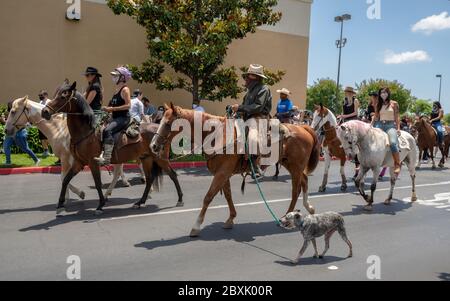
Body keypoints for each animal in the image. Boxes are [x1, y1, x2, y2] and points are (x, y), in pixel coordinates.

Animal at [3, 95, 141, 199]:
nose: (6, 130)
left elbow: (63, 177)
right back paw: (111, 192)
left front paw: (79, 194)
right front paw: (67, 196)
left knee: (119, 171)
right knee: (118, 171)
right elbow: (64, 178)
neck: (59, 129)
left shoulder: (66, 158)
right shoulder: (69, 160)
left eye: (13, 111)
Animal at [40, 81, 184, 213]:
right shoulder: (78, 162)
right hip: (146, 158)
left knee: (173, 174)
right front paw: (60, 204)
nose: (44, 111)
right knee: (149, 179)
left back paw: (180, 200)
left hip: (160, 158)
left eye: (63, 96)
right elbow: (65, 180)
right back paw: (140, 202)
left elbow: (97, 183)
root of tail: (160, 130)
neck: (86, 131)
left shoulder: (92, 162)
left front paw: (101, 204)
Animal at [150, 103, 320, 237]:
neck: (217, 135)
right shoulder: (223, 173)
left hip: (295, 167)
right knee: (304, 181)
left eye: (167, 123)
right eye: (159, 120)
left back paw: (285, 218)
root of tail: (305, 128)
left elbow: (208, 197)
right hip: (291, 165)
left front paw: (196, 226)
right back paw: (309, 208)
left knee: (295, 190)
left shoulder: (222, 173)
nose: (153, 146)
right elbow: (228, 195)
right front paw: (230, 219)